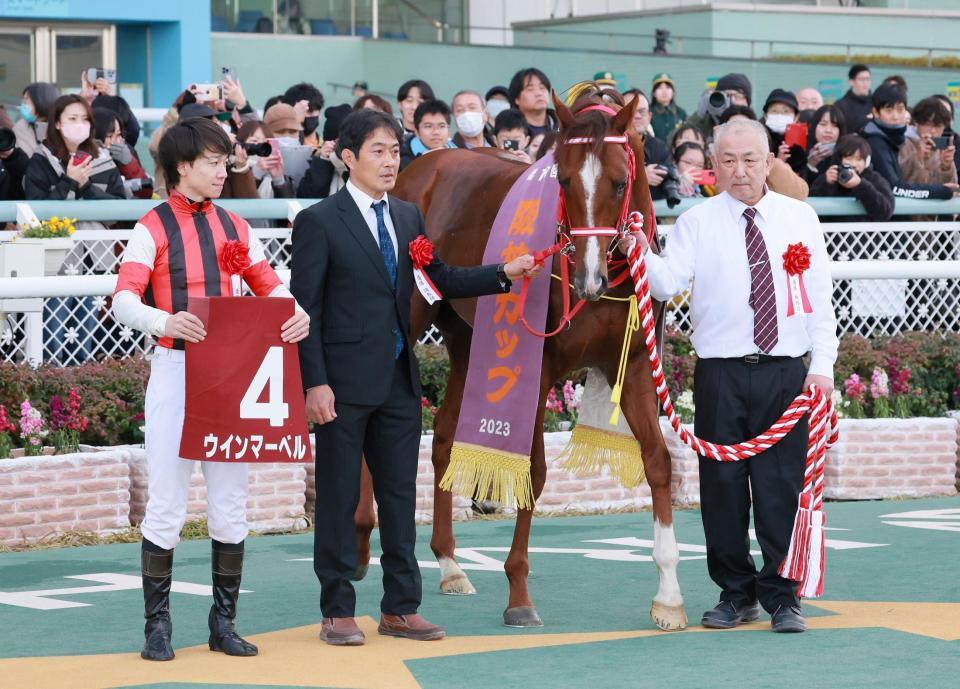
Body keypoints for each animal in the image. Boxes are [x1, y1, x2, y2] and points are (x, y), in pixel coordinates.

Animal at [354, 86, 688, 628]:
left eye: (619, 182)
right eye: (565, 181)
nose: (588, 279)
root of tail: (422, 166)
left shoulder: (636, 364)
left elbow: (658, 462)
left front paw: (669, 596)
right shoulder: (541, 368)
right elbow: (533, 470)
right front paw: (518, 594)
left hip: (469, 337)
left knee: (443, 435)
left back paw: (450, 563)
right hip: (410, 317)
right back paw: (363, 539)